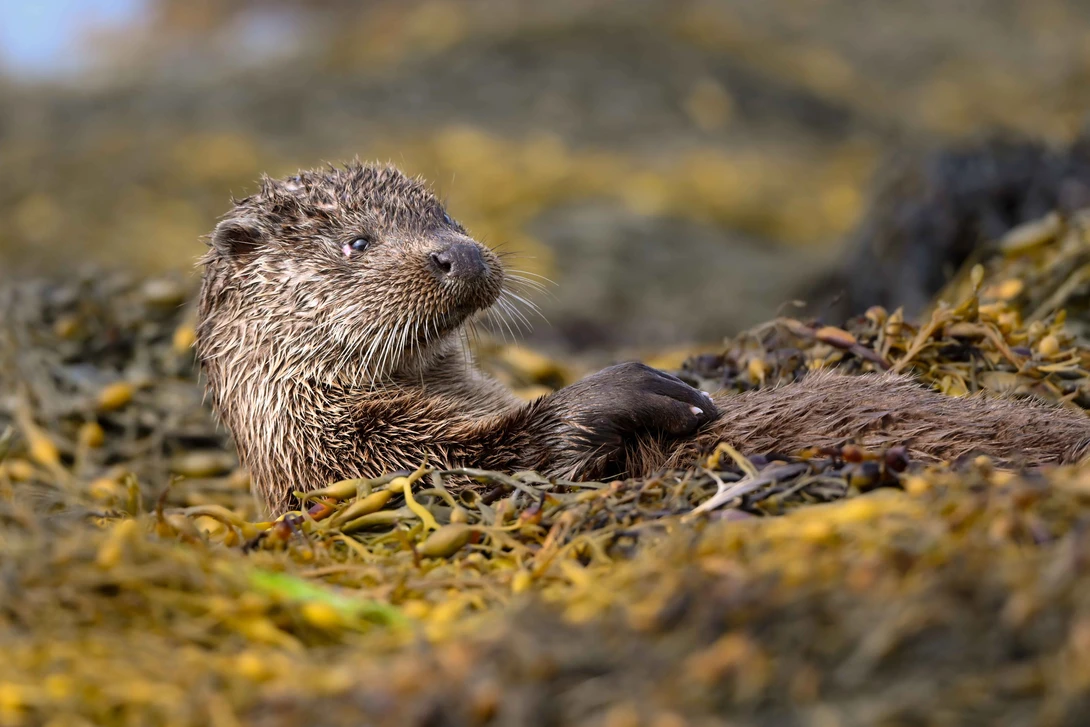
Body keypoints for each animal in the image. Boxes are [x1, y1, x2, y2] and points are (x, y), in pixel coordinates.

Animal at [196, 163, 1090, 515]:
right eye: (358, 242)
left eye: (445, 215)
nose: (463, 253)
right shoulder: (351, 460)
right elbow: (501, 461)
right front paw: (638, 390)